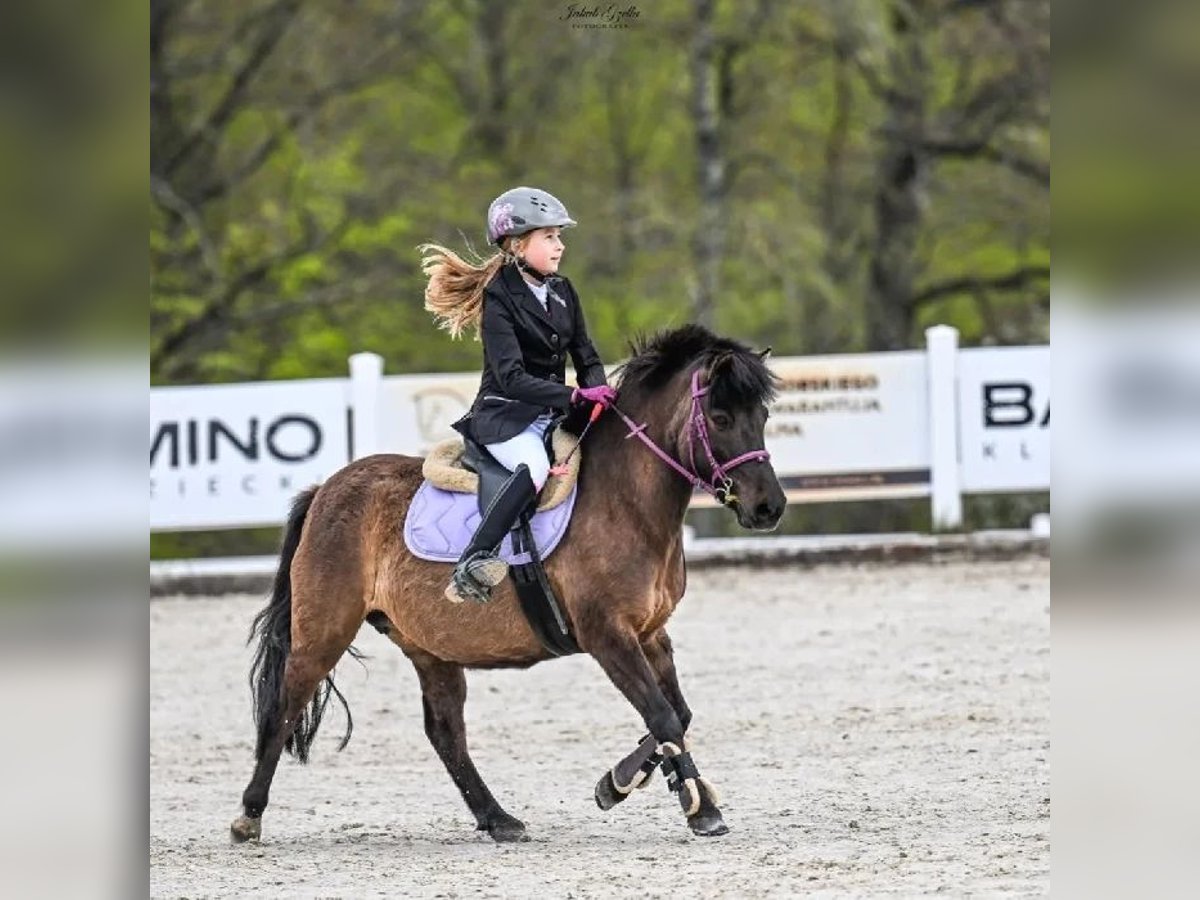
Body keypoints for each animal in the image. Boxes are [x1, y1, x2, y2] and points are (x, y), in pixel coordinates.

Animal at [226, 324, 787, 844]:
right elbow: (664, 716)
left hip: (431, 646)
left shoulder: (651, 633)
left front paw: (628, 785)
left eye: (761, 418)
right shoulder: (607, 635)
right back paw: (248, 816)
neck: (626, 501)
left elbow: (678, 713)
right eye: (720, 418)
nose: (769, 507)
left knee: (444, 731)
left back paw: (498, 819)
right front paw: (692, 806)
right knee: (284, 706)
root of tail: (326, 488)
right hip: (325, 630)